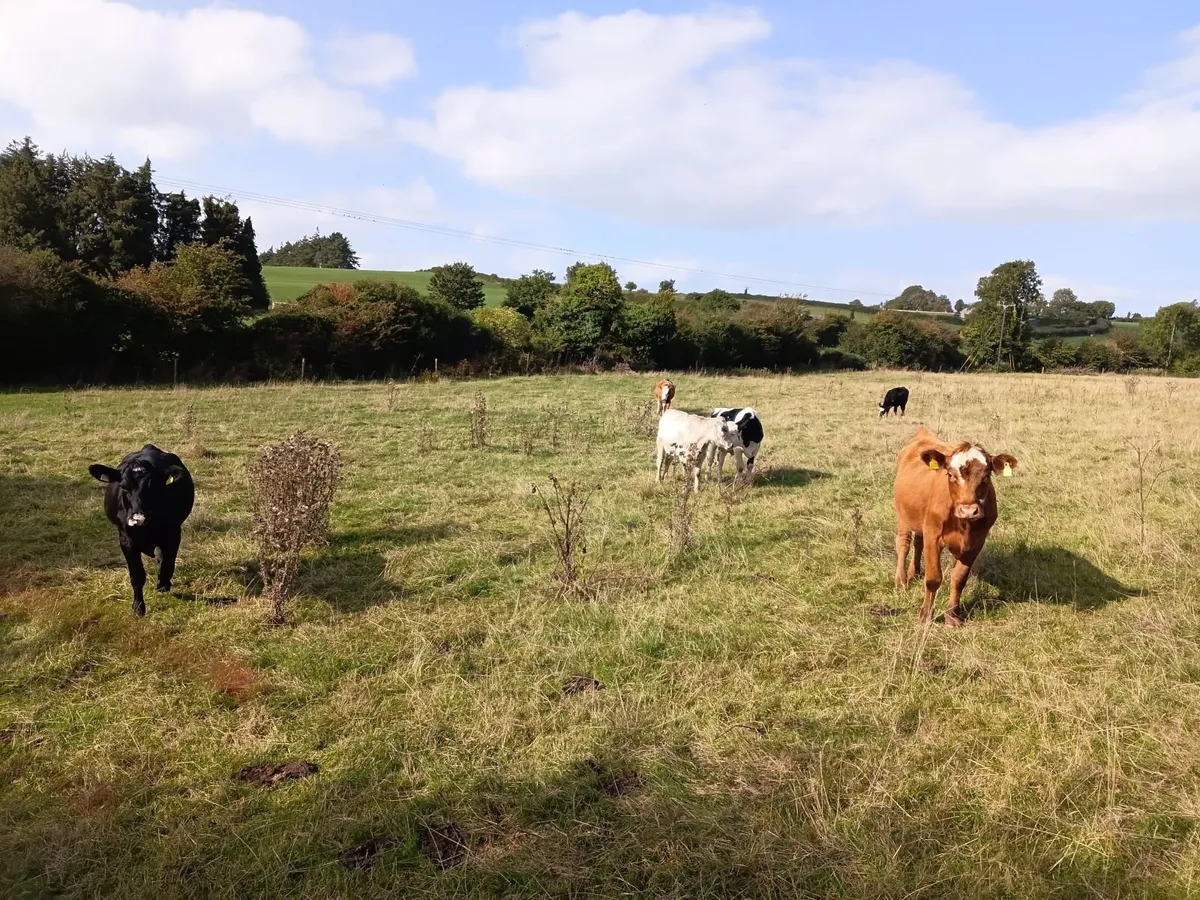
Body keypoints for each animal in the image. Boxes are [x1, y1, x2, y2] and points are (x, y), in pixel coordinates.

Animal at [89, 444, 195, 616]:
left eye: (154, 488)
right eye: (124, 488)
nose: (138, 518)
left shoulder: (173, 534)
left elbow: (167, 564)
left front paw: (163, 584)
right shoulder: (126, 540)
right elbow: (137, 575)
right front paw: (138, 606)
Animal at [893, 428, 1016, 626]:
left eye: (986, 476)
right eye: (950, 474)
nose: (969, 510)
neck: (964, 525)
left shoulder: (977, 541)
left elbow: (959, 579)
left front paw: (952, 615)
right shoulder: (933, 535)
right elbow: (933, 578)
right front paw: (925, 616)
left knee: (918, 542)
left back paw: (914, 572)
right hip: (902, 516)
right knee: (903, 544)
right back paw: (901, 580)